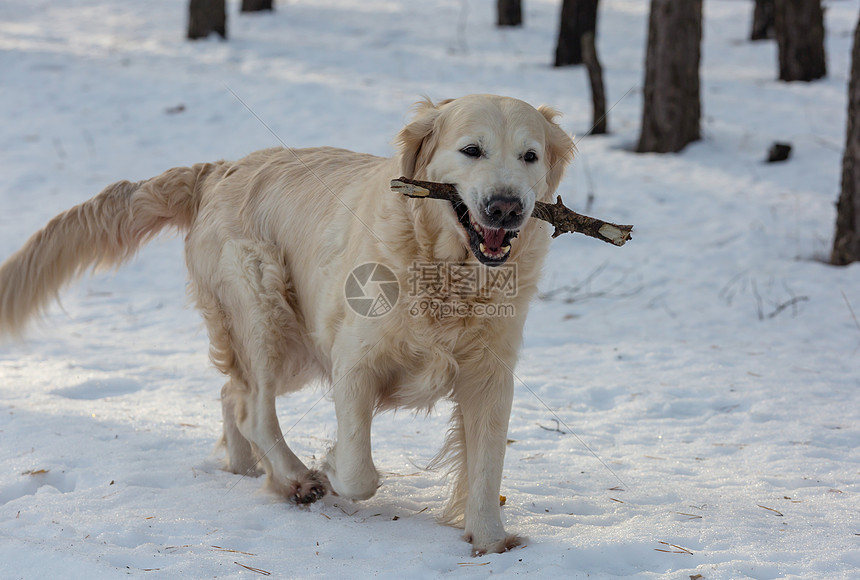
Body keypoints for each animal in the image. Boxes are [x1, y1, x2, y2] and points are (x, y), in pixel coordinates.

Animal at [3, 94, 576, 552]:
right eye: (472, 150)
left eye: (530, 156)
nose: (506, 207)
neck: (447, 271)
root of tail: (218, 169)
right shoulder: (354, 362)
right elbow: (360, 471)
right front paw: (332, 468)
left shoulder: (489, 376)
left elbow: (487, 465)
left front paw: (491, 540)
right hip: (264, 303)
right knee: (253, 407)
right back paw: (296, 479)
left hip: (294, 343)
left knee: (232, 394)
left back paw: (250, 469)